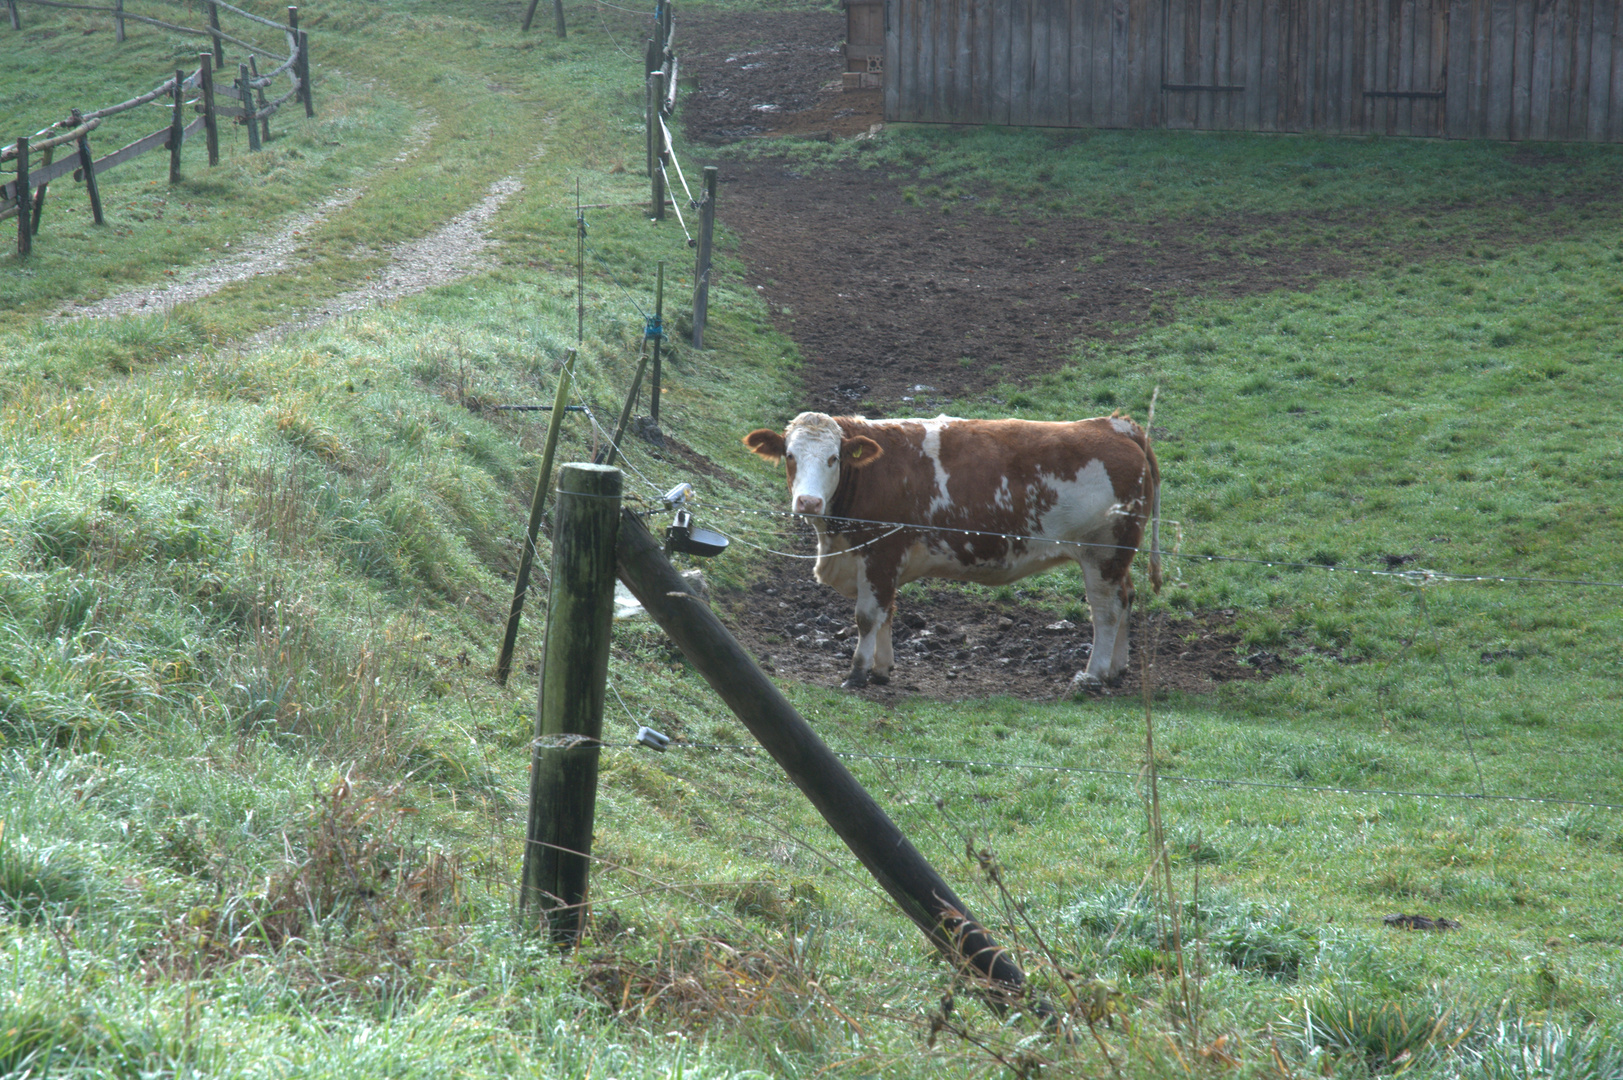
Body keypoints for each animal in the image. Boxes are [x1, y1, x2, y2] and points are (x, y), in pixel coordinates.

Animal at [743, 409, 1162, 685]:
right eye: (790, 456)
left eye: (833, 458)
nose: (808, 502)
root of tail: (1114, 425)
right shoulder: (881, 562)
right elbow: (887, 613)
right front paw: (882, 669)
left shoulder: (881, 553)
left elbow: (867, 616)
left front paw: (858, 673)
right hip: (1117, 557)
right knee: (1126, 597)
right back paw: (1117, 668)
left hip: (1102, 553)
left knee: (1107, 610)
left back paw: (1093, 674)